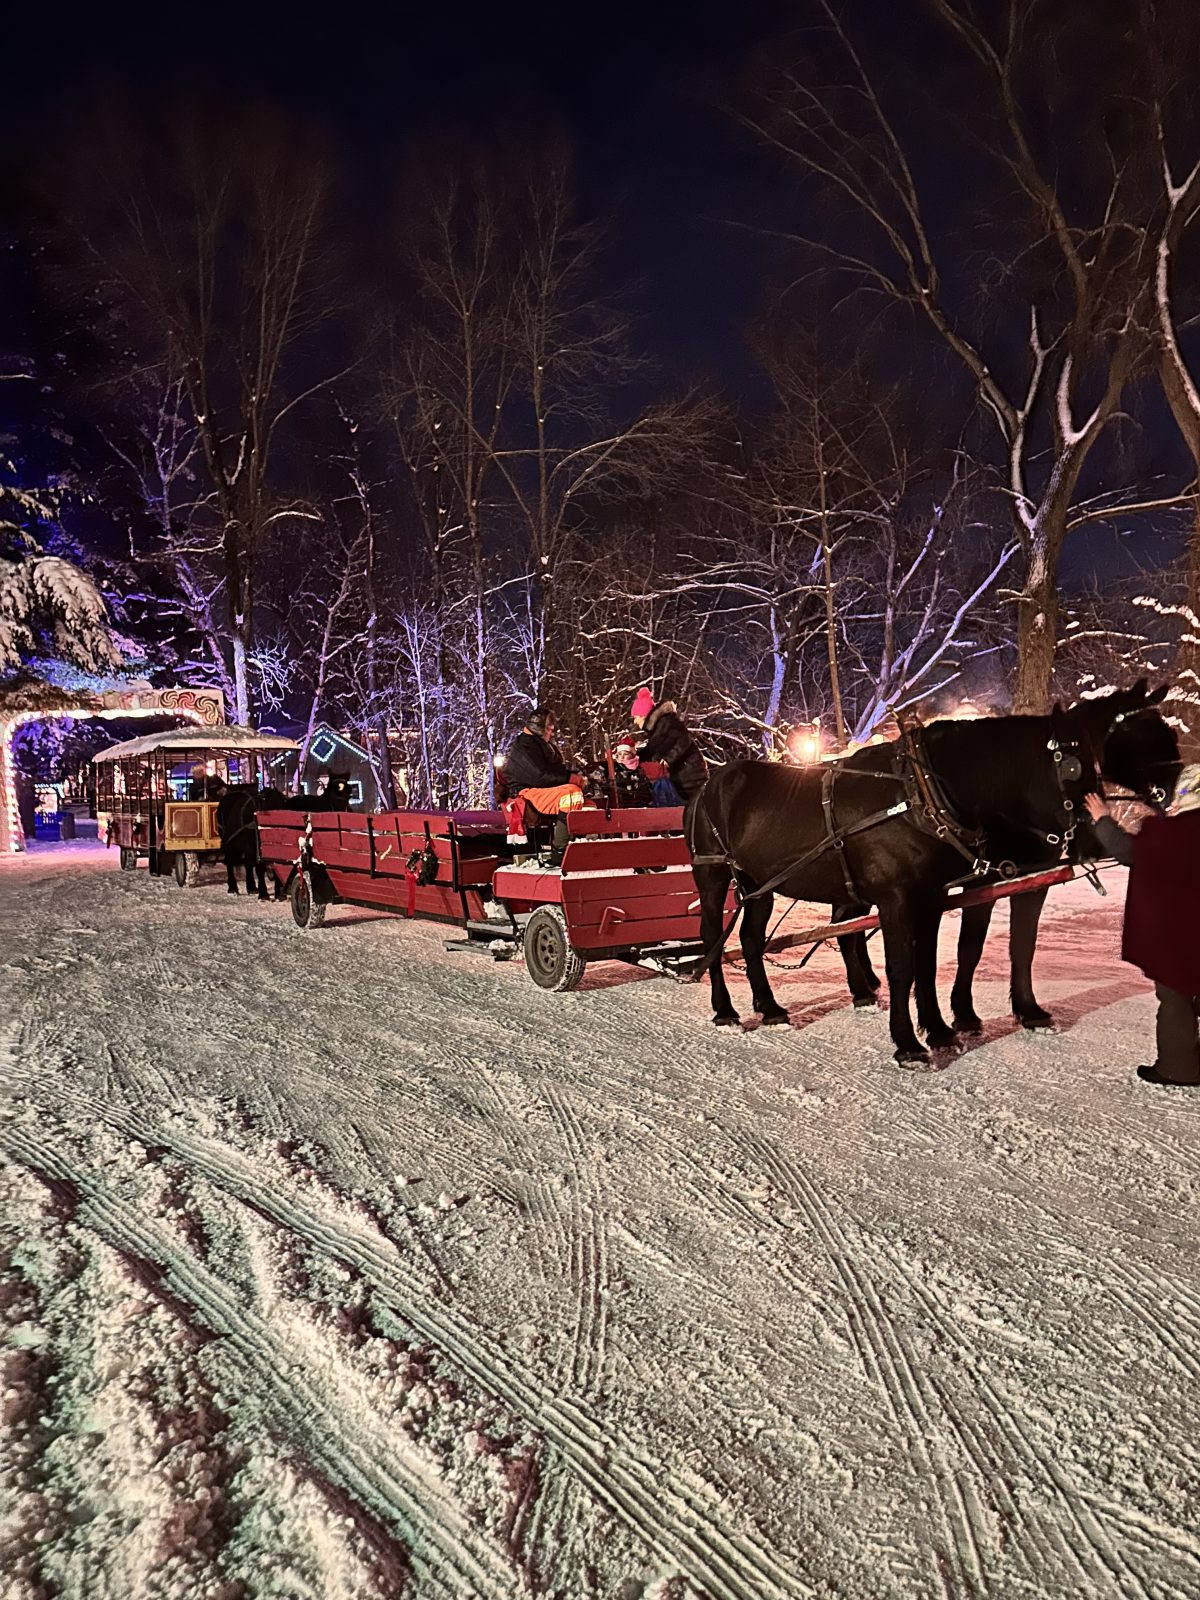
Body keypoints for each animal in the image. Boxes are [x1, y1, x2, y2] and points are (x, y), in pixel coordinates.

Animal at [691, 678, 1171, 1062]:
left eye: (1097, 759)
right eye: (1072, 765)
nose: (1092, 835)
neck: (922, 795)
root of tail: (711, 783)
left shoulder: (934, 896)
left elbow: (929, 962)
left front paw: (940, 1030)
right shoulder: (898, 900)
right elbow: (905, 967)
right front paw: (909, 1043)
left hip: (759, 886)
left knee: (751, 940)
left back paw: (771, 1007)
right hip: (715, 879)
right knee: (714, 938)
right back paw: (726, 1009)